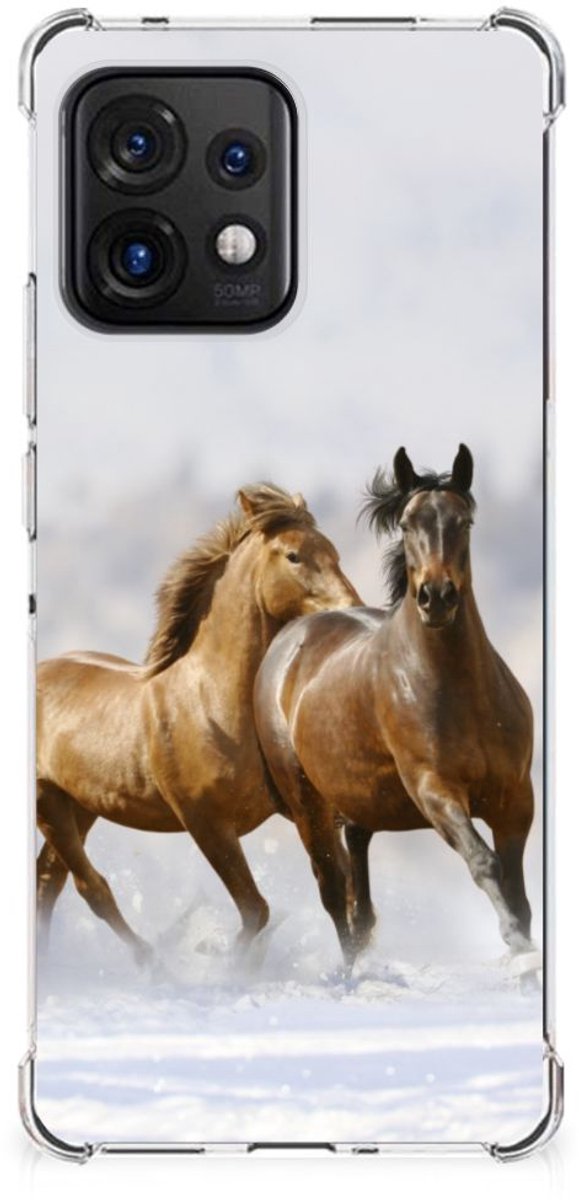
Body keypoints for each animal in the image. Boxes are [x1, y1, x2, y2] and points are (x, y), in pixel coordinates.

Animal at [36, 484, 361, 963]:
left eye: (334, 551)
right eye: (294, 556)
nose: (353, 609)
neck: (213, 704)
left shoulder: (304, 809)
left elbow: (337, 887)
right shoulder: (205, 823)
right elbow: (256, 910)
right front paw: (224, 963)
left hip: (80, 805)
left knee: (48, 880)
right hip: (50, 804)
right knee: (89, 887)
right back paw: (153, 963)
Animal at [254, 446, 536, 970]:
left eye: (464, 521)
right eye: (406, 524)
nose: (436, 597)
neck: (460, 693)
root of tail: (288, 639)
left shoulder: (516, 799)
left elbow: (518, 890)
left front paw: (525, 951)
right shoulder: (435, 791)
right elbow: (484, 862)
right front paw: (517, 945)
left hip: (358, 802)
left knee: (358, 895)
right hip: (308, 805)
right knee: (333, 891)